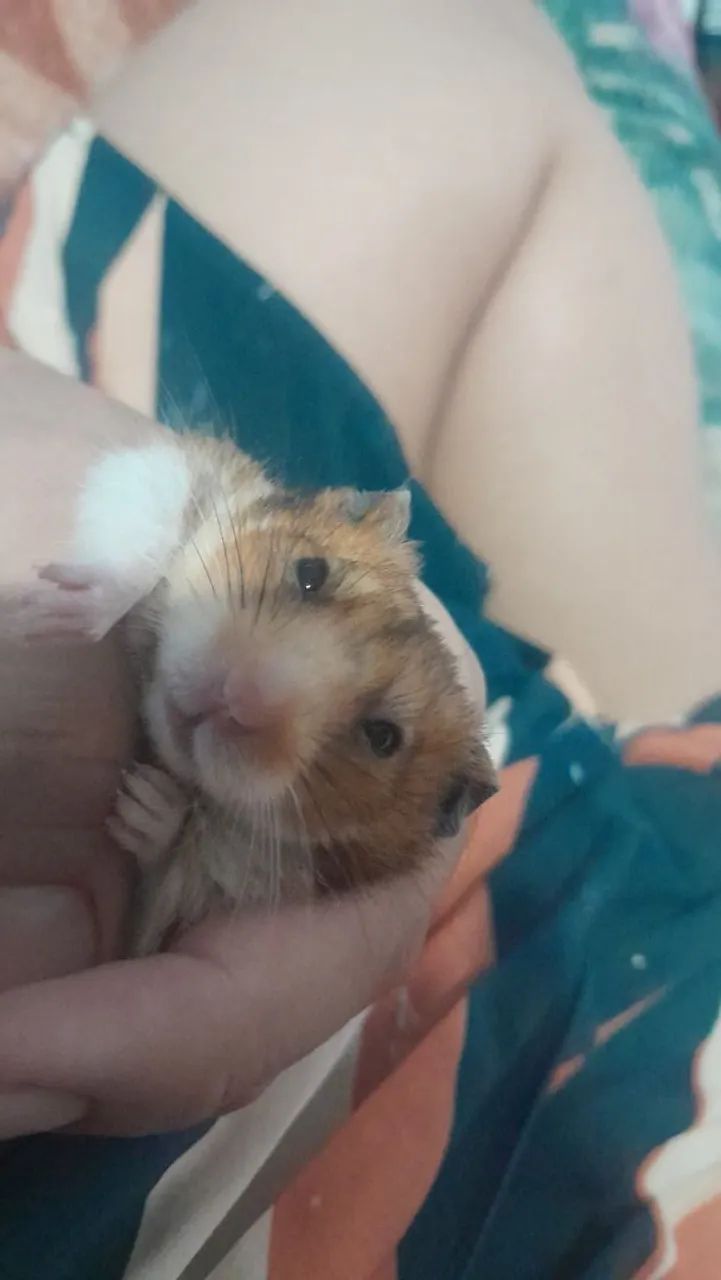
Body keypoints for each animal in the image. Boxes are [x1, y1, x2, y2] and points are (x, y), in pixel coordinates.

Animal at [27, 432, 497, 955]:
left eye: (382, 737)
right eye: (311, 572)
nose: (236, 698)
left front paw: (143, 802)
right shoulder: (177, 473)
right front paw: (55, 612)